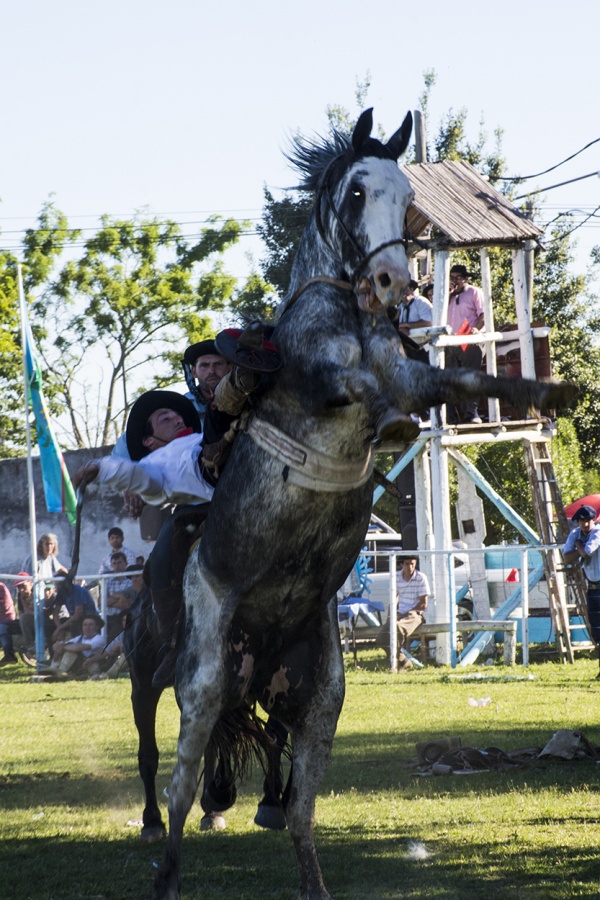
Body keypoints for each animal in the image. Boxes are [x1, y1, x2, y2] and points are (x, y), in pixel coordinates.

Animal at [152, 109, 576, 896]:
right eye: (355, 192)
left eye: (405, 197)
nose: (392, 280)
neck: (349, 310)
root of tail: (256, 656)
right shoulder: (331, 376)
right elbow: (371, 388)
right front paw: (394, 421)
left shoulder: (410, 369)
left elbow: (451, 383)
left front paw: (547, 390)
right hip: (202, 683)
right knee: (180, 795)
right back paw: (165, 872)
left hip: (322, 697)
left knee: (298, 813)